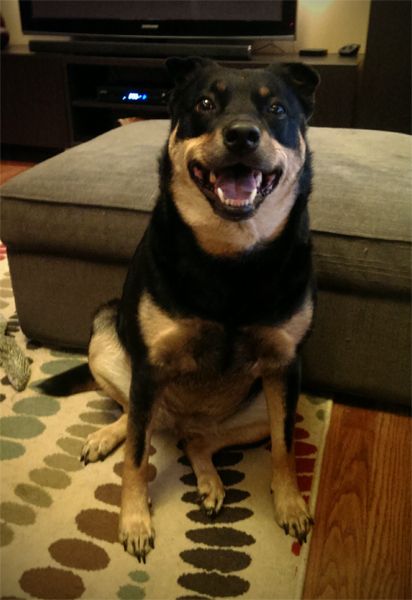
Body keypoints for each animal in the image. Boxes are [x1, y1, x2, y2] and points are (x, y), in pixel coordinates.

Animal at [41, 56, 318, 564]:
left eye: (276, 109)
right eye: (205, 103)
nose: (242, 136)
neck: (232, 256)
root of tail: (178, 418)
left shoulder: (285, 366)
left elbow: (286, 448)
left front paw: (290, 505)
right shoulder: (151, 364)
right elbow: (135, 458)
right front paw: (134, 522)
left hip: (261, 411)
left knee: (197, 440)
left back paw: (209, 480)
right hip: (106, 335)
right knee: (136, 422)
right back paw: (106, 436)